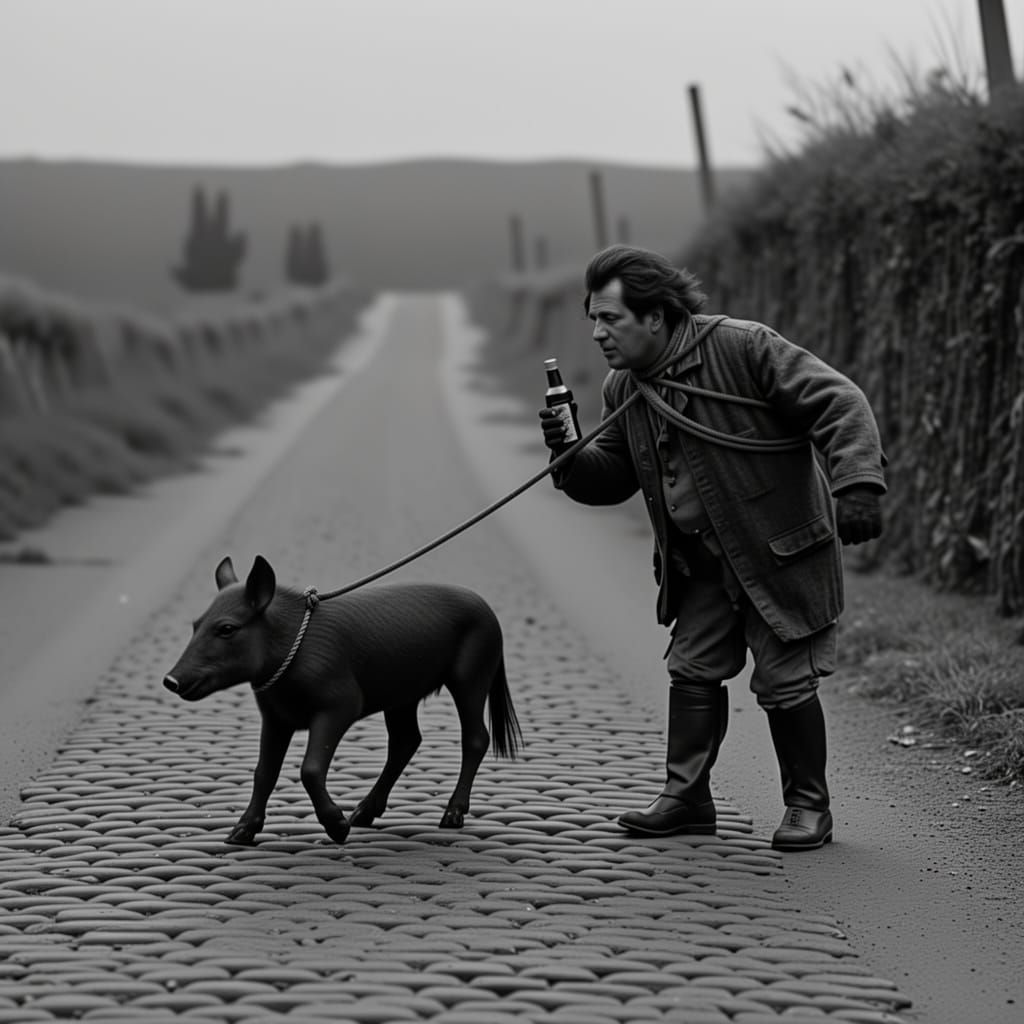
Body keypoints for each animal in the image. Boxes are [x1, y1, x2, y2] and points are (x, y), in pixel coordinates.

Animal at [163, 554, 522, 845]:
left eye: (226, 628)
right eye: (195, 625)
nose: (170, 680)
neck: (289, 650)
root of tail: (489, 611)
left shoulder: (340, 704)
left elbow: (310, 768)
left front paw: (337, 828)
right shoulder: (275, 717)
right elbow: (264, 772)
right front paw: (239, 834)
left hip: (471, 675)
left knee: (475, 737)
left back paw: (450, 817)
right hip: (402, 694)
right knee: (406, 741)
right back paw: (362, 814)